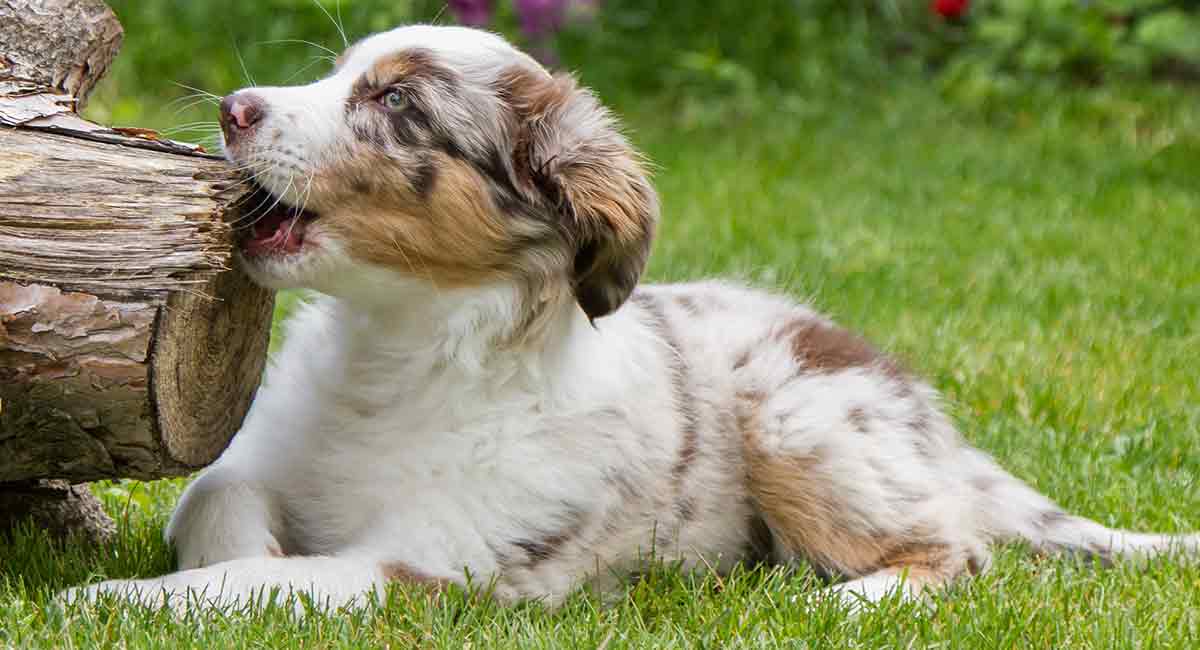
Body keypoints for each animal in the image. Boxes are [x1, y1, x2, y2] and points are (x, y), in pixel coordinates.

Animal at [68, 25, 1200, 614]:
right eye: (343, 72)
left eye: (396, 106)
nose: (235, 108)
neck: (401, 348)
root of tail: (935, 426)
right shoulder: (259, 462)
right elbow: (216, 513)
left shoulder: (436, 563)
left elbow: (267, 583)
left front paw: (99, 607)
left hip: (798, 416)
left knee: (957, 550)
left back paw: (832, 603)